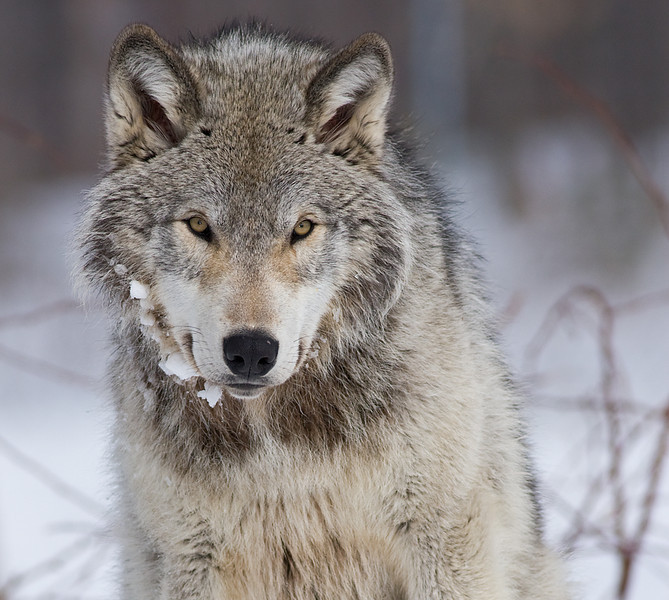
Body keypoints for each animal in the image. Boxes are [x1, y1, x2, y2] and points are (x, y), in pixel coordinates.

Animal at [75, 23, 568, 599]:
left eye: (303, 228)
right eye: (198, 225)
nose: (250, 350)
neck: (277, 441)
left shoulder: (445, 537)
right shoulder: (192, 559)